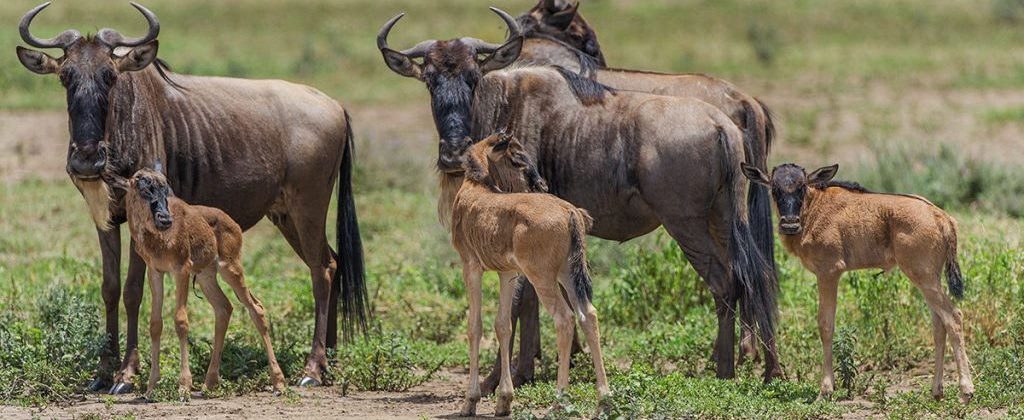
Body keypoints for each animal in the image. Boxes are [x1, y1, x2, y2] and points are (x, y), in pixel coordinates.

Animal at [104, 165, 286, 399]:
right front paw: (151, 387)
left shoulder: (181, 269)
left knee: (256, 308)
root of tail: (232, 223)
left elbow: (181, 321)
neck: (160, 238)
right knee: (224, 308)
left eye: (166, 190)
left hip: (230, 269)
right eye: (142, 188)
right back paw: (210, 383)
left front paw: (184, 386)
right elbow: (155, 324)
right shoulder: (156, 272)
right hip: (206, 276)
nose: (165, 220)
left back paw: (279, 383)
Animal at [450, 133, 606, 415]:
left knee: (565, 319)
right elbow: (503, 325)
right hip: (567, 274)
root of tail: (570, 212)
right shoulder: (508, 273)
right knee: (588, 315)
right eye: (516, 159)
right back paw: (605, 401)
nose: (541, 184)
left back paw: (559, 401)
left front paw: (470, 401)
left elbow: (474, 326)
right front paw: (503, 401)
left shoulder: (471, 267)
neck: (476, 187)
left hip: (542, 277)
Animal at [741, 162, 970, 401]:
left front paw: (825, 390)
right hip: (928, 280)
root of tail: (941, 216)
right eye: (775, 189)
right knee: (939, 325)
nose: (790, 225)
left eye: (802, 187)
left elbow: (825, 325)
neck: (813, 208)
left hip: (924, 277)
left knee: (954, 317)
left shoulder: (829, 272)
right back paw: (936, 391)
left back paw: (966, 390)